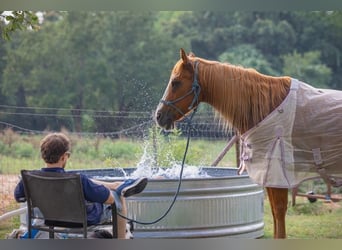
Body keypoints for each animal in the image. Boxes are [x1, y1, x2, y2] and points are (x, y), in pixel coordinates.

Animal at [156, 48, 342, 238]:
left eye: (176, 82)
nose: (159, 116)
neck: (267, 109)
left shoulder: (276, 176)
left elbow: (279, 214)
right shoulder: (269, 176)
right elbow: (275, 216)